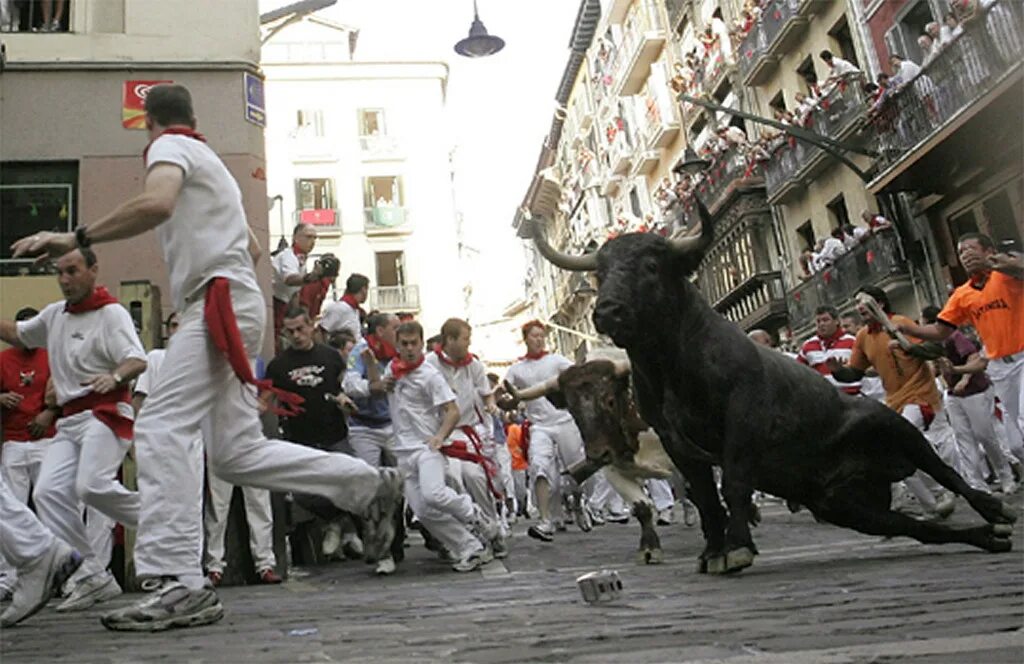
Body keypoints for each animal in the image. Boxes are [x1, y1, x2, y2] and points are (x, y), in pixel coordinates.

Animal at [520, 198, 1015, 573]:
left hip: (894, 426)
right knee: (921, 529)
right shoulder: (675, 442)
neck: (670, 366)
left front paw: (737, 547)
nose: (607, 310)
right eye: (600, 271)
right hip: (847, 507)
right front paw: (712, 550)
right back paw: (987, 537)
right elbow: (704, 495)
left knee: (942, 468)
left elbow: (734, 483)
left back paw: (994, 508)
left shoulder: (744, 419)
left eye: (651, 264)